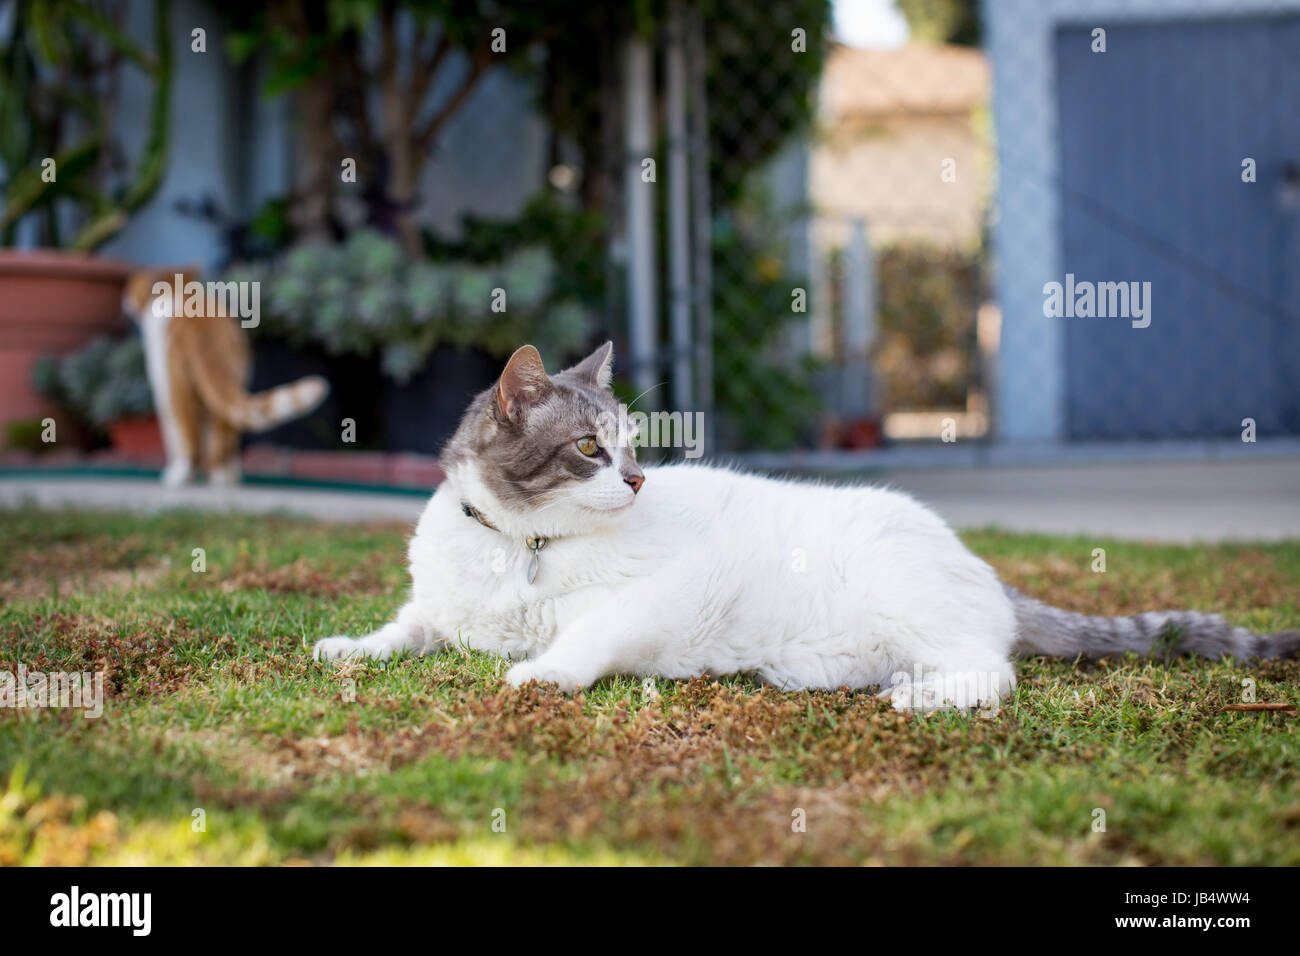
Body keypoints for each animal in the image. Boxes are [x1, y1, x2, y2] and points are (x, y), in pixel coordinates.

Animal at [122, 267, 327, 486]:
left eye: (131, 285)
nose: (125, 298)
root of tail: (203, 325)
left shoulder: (164, 390)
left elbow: (176, 436)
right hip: (235, 375)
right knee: (225, 433)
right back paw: (225, 477)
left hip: (178, 388)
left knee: (189, 437)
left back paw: (181, 476)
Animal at [314, 343, 1300, 712]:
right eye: (593, 447)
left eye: (634, 445)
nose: (636, 477)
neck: (518, 550)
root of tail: (978, 565)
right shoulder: (438, 612)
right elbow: (402, 629)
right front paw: (349, 647)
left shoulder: (646, 607)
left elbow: (581, 643)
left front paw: (538, 673)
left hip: (913, 608)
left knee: (991, 674)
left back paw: (916, 699)